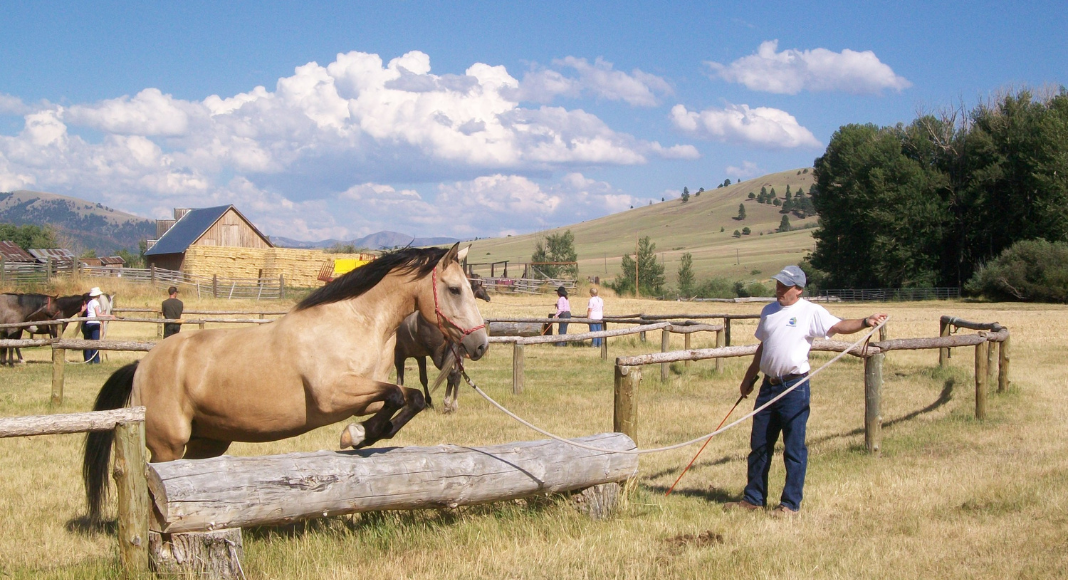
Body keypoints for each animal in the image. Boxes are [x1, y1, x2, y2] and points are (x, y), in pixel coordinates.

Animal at [83, 245, 489, 521]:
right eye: (455, 289)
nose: (480, 345)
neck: (356, 321)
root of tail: (142, 364)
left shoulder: (364, 393)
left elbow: (410, 398)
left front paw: (364, 435)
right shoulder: (332, 396)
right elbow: (398, 396)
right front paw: (354, 435)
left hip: (207, 442)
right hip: (168, 444)